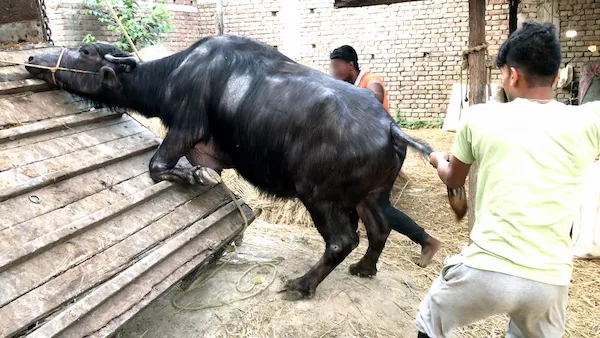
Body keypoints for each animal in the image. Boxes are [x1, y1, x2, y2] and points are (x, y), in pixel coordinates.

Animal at [27, 35, 468, 298]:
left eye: (85, 52)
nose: (32, 57)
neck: (175, 75)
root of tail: (389, 126)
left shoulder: (184, 129)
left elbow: (156, 165)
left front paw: (195, 175)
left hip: (319, 196)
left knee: (343, 240)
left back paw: (301, 285)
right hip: (372, 195)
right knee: (379, 229)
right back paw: (364, 269)